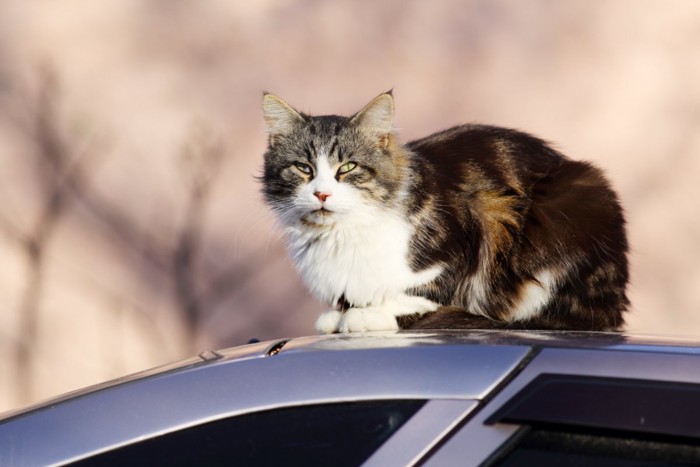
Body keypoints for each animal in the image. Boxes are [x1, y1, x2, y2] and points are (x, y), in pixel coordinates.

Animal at [262, 90, 628, 332]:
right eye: (303, 168)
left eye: (348, 167)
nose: (322, 193)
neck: (341, 237)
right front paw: (340, 313)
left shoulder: (464, 244)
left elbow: (418, 292)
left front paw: (367, 314)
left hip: (574, 200)